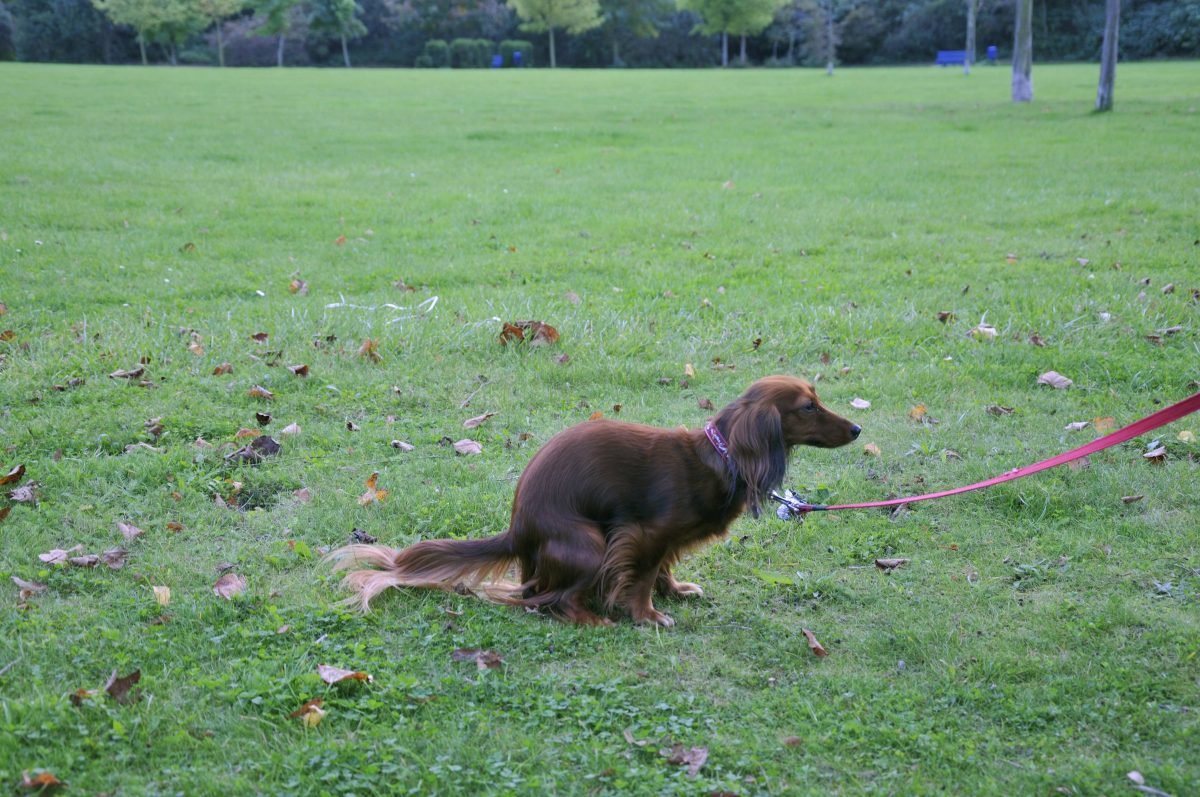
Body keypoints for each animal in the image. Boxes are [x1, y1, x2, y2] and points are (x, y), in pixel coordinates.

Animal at [331, 376, 864, 624]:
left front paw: (676, 590)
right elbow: (641, 576)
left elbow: (663, 569)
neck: (722, 455)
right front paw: (647, 614)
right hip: (590, 544)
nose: (858, 428)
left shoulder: (662, 539)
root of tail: (518, 531)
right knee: (550, 600)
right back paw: (592, 618)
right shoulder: (642, 533)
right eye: (808, 407)